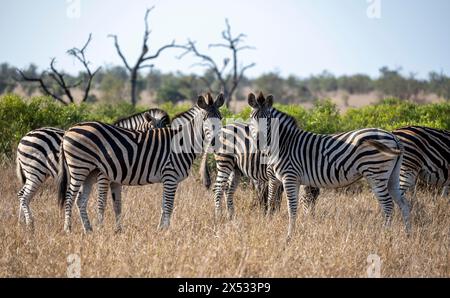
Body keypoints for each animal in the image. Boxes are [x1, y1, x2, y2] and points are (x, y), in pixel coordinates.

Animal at [16, 107, 169, 230]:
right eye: (156, 136)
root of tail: (25, 136)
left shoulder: (115, 180)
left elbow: (117, 205)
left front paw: (119, 230)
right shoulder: (104, 176)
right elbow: (102, 203)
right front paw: (101, 228)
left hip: (35, 173)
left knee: (22, 194)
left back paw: (22, 224)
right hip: (36, 172)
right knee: (25, 196)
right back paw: (31, 225)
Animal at [57, 93, 224, 233]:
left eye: (221, 117)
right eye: (205, 119)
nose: (216, 142)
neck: (182, 142)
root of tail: (69, 129)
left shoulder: (168, 179)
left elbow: (163, 205)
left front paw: (160, 230)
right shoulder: (170, 176)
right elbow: (168, 206)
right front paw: (166, 231)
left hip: (90, 172)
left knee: (80, 200)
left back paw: (88, 230)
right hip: (79, 168)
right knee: (70, 197)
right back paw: (68, 230)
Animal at [248, 92, 414, 239]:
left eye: (268, 120)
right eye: (252, 119)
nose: (259, 142)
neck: (283, 143)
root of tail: (392, 136)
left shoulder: (289, 177)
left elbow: (290, 208)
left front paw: (288, 237)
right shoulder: (282, 179)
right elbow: (275, 203)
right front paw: (274, 228)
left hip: (376, 173)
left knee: (389, 206)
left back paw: (384, 236)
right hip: (392, 176)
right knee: (403, 204)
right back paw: (407, 236)